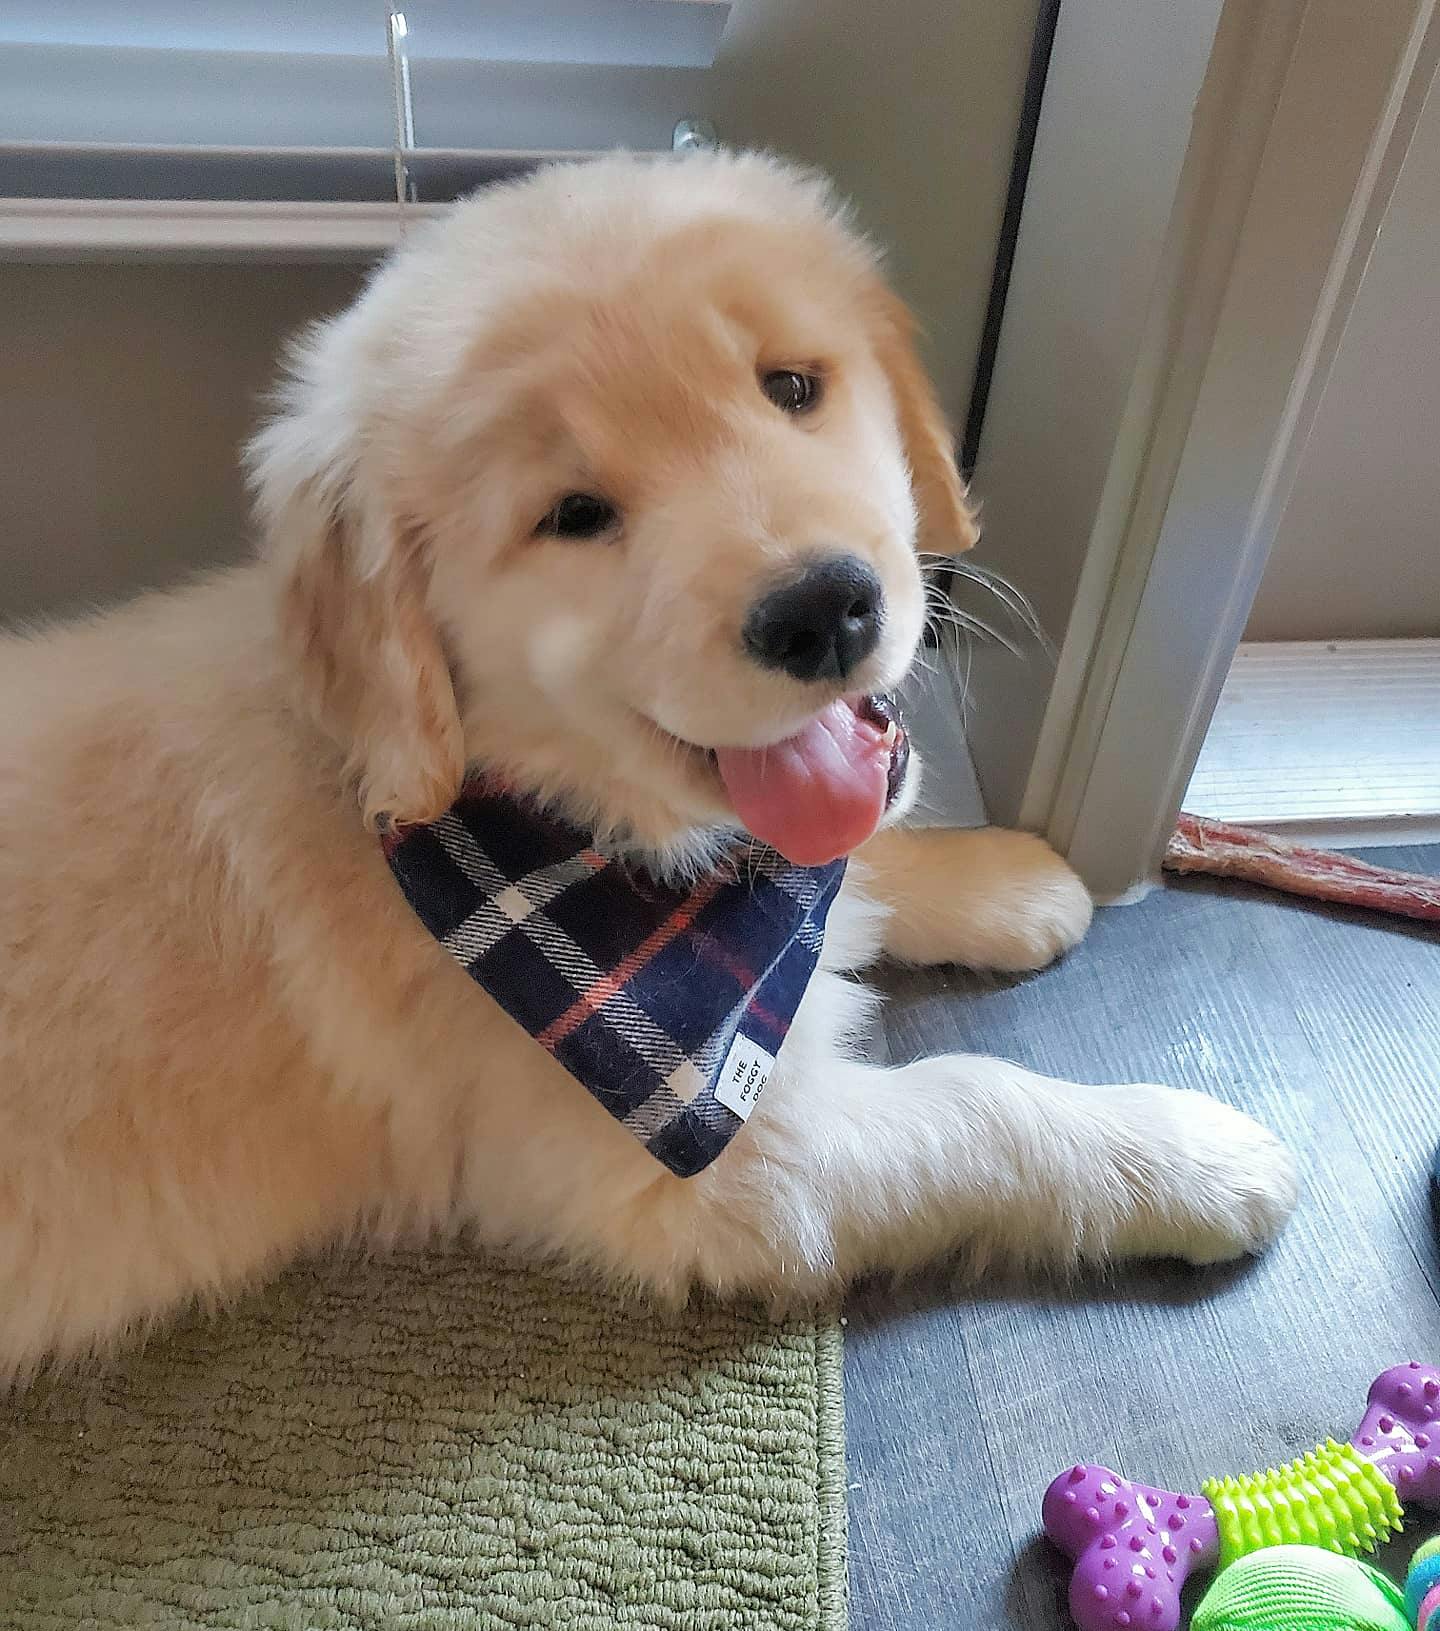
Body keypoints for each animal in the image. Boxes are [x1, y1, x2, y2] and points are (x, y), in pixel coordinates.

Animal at [0, 150, 1298, 1376]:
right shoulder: (731, 1168)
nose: (822, 611)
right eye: (574, 514)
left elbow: (850, 862)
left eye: (791, 387)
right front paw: (1183, 1151)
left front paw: (999, 881)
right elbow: (978, 1102)